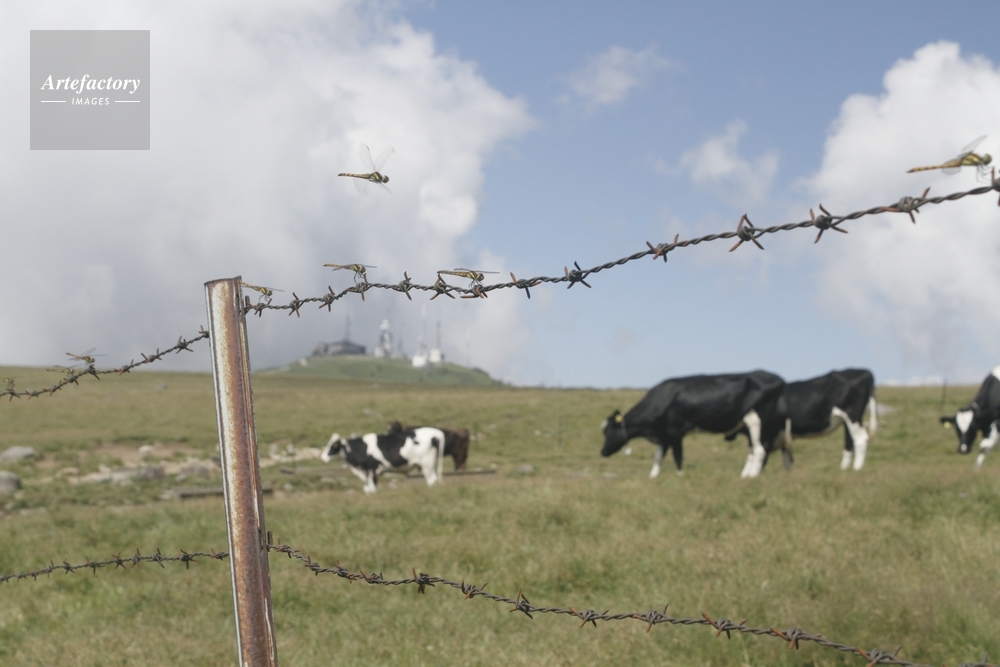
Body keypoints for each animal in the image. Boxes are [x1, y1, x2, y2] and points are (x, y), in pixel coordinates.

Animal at [600, 370, 787, 479]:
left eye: (608, 432)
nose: (602, 452)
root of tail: (778, 379)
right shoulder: (663, 433)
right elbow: (658, 455)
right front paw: (653, 476)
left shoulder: (675, 430)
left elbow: (678, 455)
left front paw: (680, 475)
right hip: (747, 426)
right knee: (754, 450)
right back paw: (745, 475)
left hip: (757, 421)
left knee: (760, 449)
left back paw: (753, 476)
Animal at [724, 368, 877, 471]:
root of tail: (865, 372)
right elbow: (787, 459)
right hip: (848, 420)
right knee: (849, 441)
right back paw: (844, 470)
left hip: (852, 415)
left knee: (861, 438)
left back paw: (857, 469)